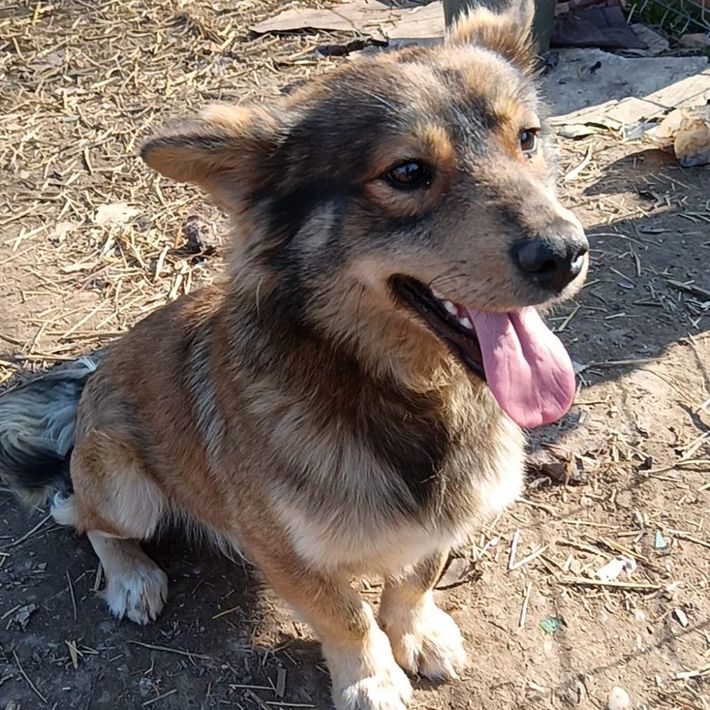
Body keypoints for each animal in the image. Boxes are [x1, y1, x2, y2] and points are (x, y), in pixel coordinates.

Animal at [0, 2, 587, 708]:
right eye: (407, 172)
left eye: (528, 138)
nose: (565, 254)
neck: (407, 392)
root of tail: (84, 389)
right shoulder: (283, 548)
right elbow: (346, 615)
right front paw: (370, 678)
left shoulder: (445, 519)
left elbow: (416, 575)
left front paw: (416, 632)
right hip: (123, 483)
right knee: (80, 516)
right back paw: (133, 577)